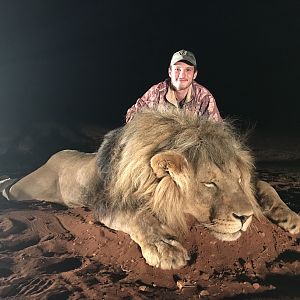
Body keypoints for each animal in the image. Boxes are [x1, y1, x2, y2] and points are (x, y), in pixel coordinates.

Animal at [1, 110, 300, 270]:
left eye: (237, 179)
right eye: (209, 183)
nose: (245, 218)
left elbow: (265, 185)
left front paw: (292, 218)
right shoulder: (109, 204)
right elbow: (138, 217)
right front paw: (165, 249)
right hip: (30, 186)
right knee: (12, 188)